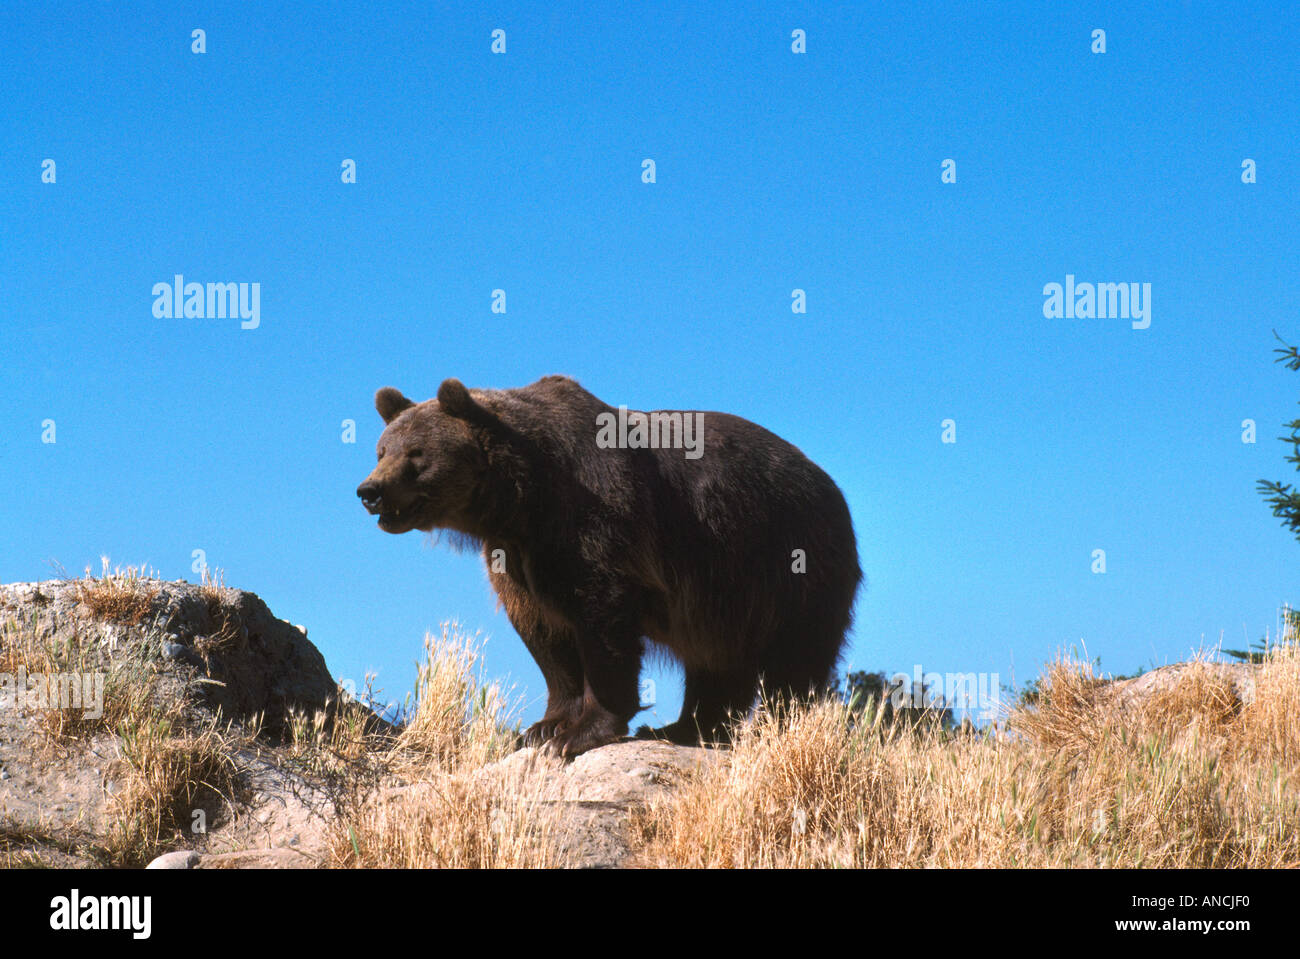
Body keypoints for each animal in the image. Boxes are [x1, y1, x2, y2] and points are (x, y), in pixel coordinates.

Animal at [356, 374, 863, 753]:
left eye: (416, 455)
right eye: (382, 450)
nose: (369, 491)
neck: (524, 500)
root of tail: (831, 486)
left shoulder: (597, 523)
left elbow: (602, 622)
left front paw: (582, 732)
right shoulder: (516, 558)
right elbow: (544, 634)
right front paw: (543, 727)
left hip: (786, 564)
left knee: (795, 660)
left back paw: (775, 728)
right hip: (727, 589)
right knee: (716, 661)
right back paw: (685, 727)